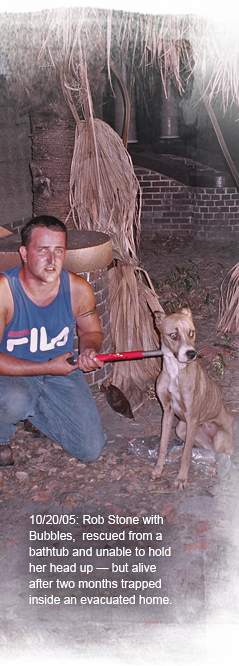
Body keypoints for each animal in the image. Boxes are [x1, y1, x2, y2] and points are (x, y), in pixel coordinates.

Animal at [152, 308, 234, 488]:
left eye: (192, 333)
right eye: (173, 335)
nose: (191, 354)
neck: (175, 370)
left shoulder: (192, 416)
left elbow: (187, 456)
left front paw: (181, 478)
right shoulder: (168, 411)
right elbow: (162, 446)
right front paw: (158, 469)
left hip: (219, 435)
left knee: (220, 455)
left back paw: (213, 466)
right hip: (181, 428)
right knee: (204, 450)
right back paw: (177, 452)